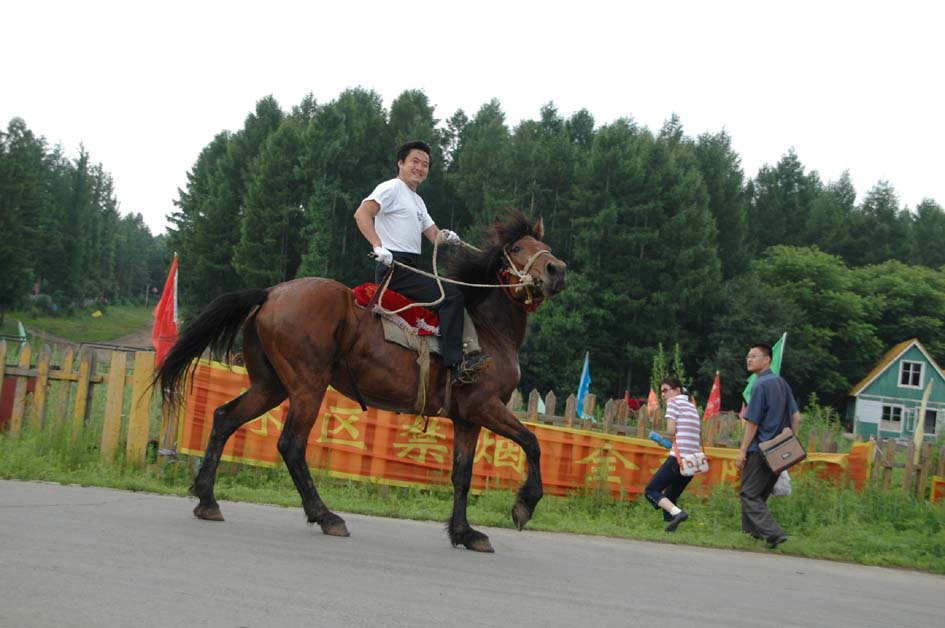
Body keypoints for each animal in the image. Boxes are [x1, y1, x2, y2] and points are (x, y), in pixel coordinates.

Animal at [158, 210, 564, 548]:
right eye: (517, 247)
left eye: (544, 246)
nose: (556, 270)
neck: (487, 328)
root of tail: (272, 293)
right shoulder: (485, 406)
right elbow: (533, 443)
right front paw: (524, 505)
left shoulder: (467, 418)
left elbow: (462, 475)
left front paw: (464, 533)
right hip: (308, 386)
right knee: (291, 445)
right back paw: (325, 516)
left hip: (269, 386)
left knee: (225, 418)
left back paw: (207, 500)